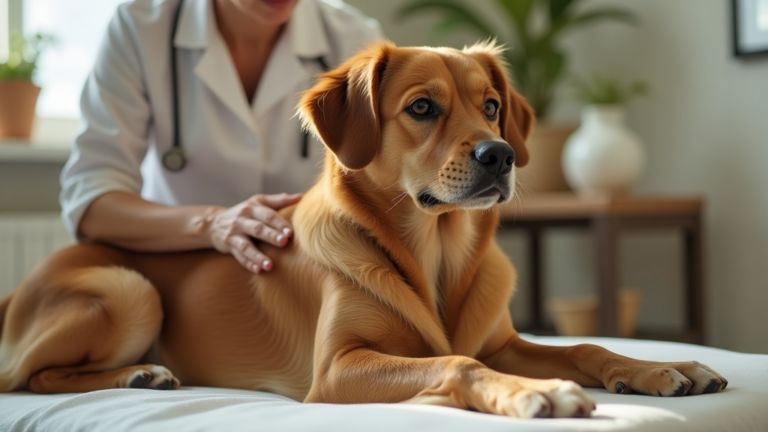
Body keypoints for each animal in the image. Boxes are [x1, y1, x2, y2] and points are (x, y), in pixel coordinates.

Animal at [0, 41, 728, 418]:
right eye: (422, 108)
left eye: (492, 106)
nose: (501, 154)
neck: (434, 252)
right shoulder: (339, 370)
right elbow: (456, 362)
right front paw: (536, 393)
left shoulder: (505, 341)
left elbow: (584, 346)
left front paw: (658, 369)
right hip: (130, 291)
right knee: (28, 378)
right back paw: (138, 374)